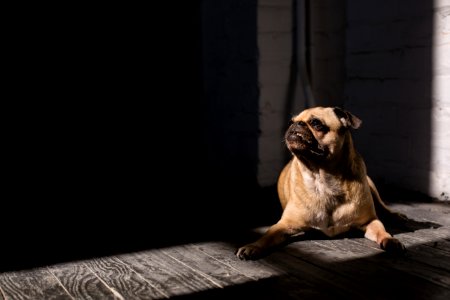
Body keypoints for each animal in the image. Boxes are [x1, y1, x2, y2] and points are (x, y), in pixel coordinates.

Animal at [237, 106, 406, 260]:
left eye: (316, 123)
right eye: (290, 122)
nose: (296, 124)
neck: (323, 178)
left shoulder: (370, 221)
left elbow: (381, 231)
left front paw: (390, 240)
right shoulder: (284, 224)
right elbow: (268, 235)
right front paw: (253, 246)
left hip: (371, 185)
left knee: (382, 206)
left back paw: (397, 216)